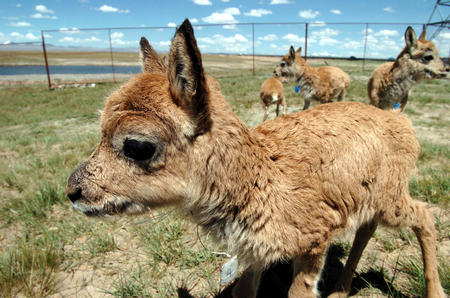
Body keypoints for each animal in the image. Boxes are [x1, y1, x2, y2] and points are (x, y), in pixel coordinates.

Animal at [65, 19, 444, 296]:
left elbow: (298, 294)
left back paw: (434, 291)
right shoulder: (257, 253)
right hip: (374, 197)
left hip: (392, 199)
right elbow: (243, 291)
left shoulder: (313, 241)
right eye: (99, 129)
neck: (262, 180)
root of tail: (397, 119)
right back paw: (341, 288)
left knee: (425, 216)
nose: (73, 191)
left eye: (137, 145)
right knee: (368, 228)